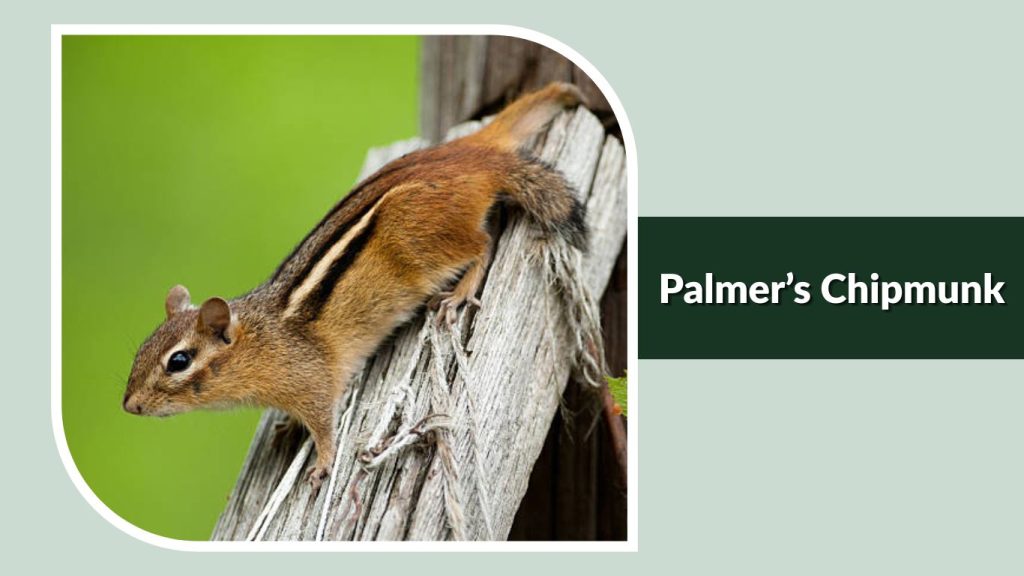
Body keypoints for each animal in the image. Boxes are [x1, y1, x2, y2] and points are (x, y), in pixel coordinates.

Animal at [122, 82, 589, 489]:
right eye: (140, 350)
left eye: (178, 361)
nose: (130, 405)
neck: (261, 340)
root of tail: (472, 154)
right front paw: (286, 428)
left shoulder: (312, 384)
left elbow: (325, 428)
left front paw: (322, 463)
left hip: (421, 240)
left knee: (483, 244)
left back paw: (457, 295)